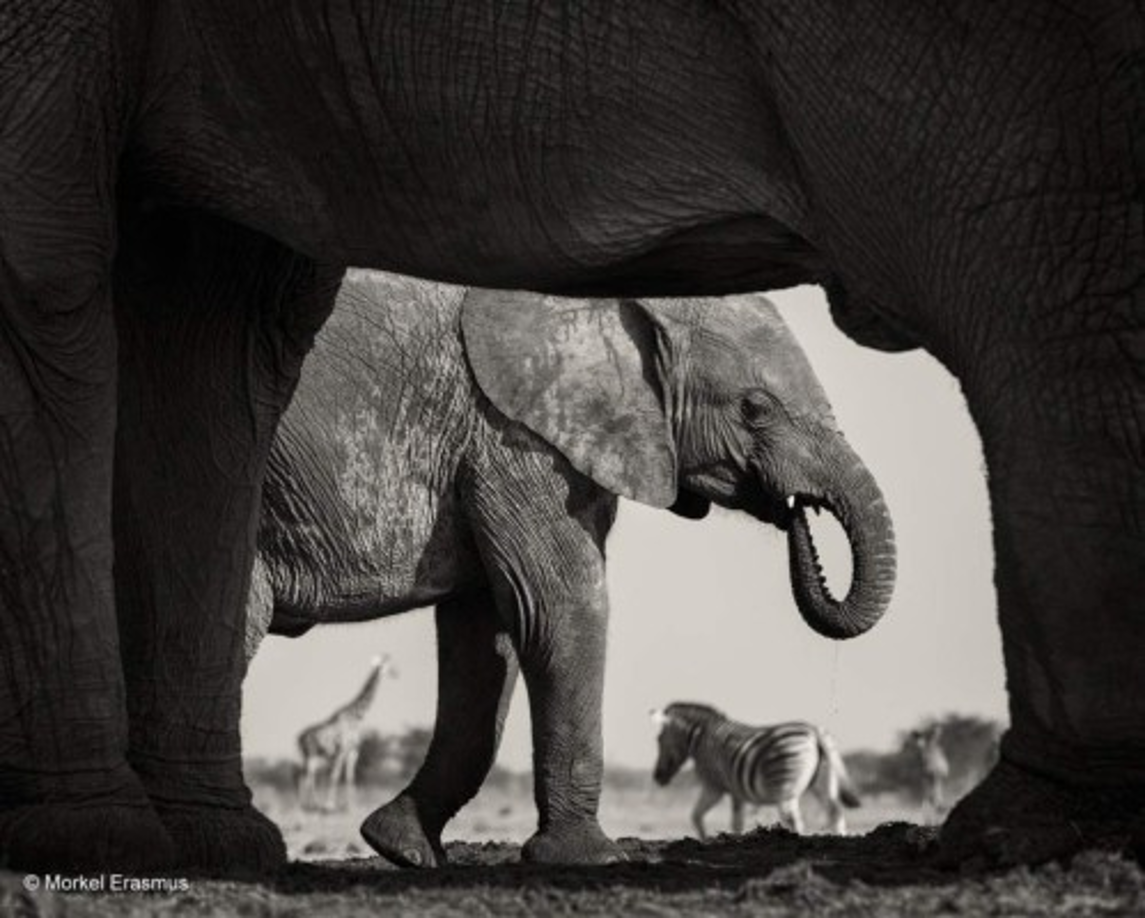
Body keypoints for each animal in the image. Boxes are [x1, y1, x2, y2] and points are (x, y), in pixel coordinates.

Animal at [297, 655, 396, 811]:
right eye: (386, 665)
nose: (396, 673)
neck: (357, 716)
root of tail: (298, 738)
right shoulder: (342, 750)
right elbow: (335, 775)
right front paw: (329, 805)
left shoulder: (353, 751)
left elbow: (350, 777)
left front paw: (352, 806)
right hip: (312, 754)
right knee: (309, 777)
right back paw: (314, 804)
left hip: (307, 756)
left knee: (302, 776)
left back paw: (304, 805)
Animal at [651, 702, 860, 838]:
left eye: (659, 739)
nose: (657, 777)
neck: (700, 736)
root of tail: (815, 732)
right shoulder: (736, 791)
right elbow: (735, 821)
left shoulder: (714, 785)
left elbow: (697, 816)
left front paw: (705, 839)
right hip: (823, 782)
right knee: (835, 813)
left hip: (785, 785)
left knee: (793, 820)